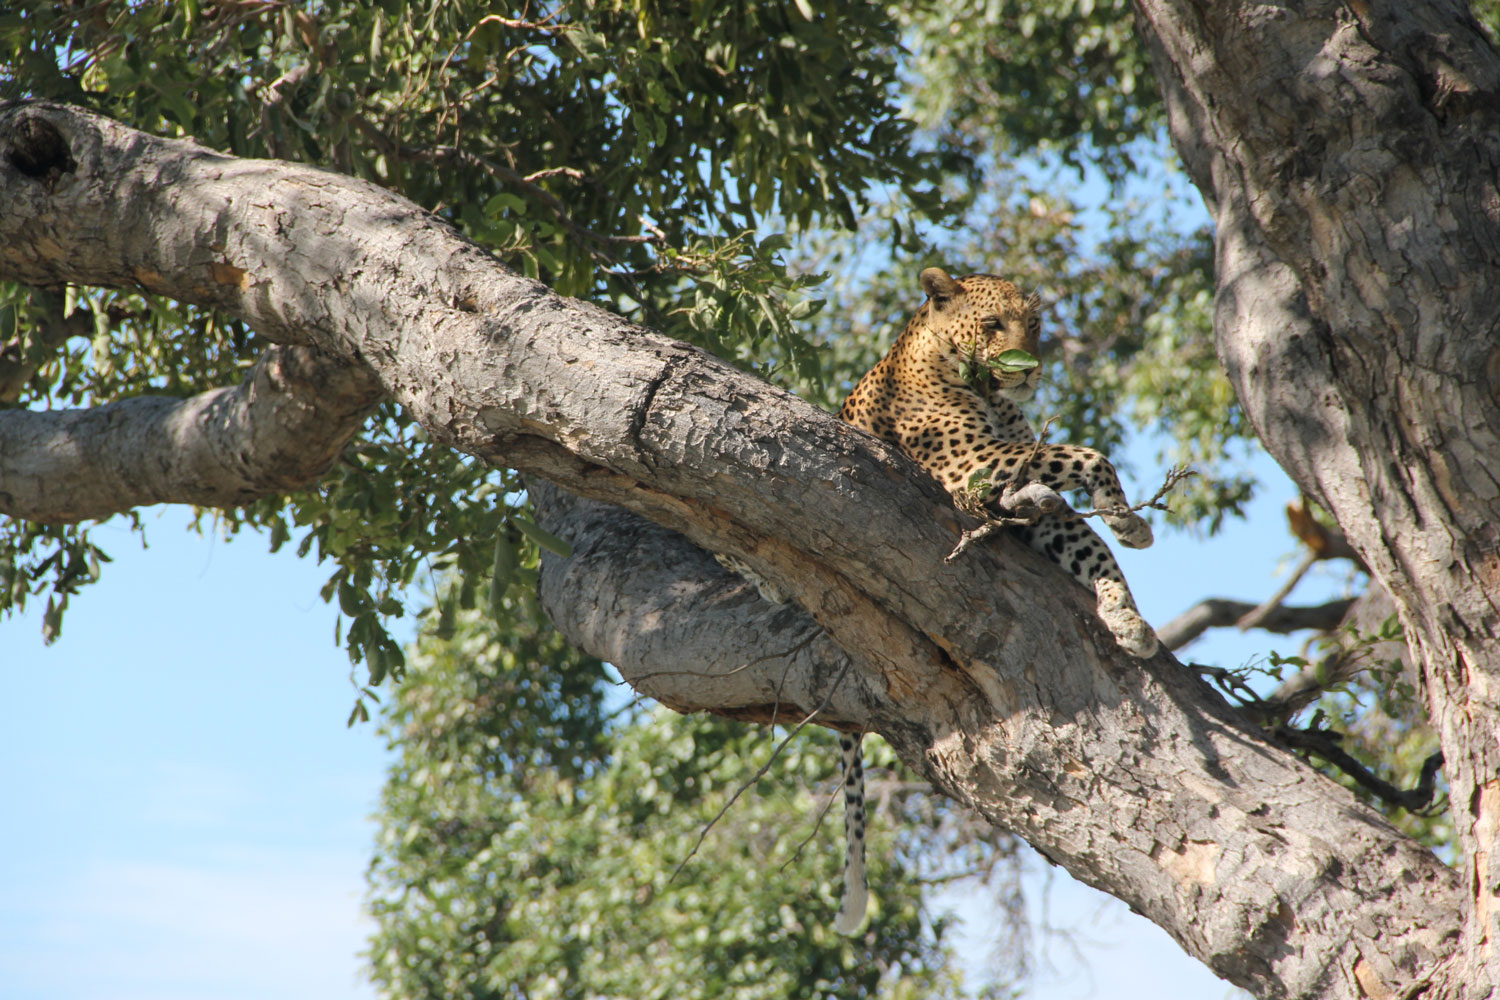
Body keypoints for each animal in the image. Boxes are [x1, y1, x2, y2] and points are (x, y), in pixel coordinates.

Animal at [828, 266, 1159, 933]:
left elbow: (1090, 542)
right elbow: (1088, 454)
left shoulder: (1015, 489)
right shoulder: (971, 466)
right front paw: (1125, 517)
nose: (1030, 368)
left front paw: (1125, 595)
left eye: (1034, 324)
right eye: (991, 325)